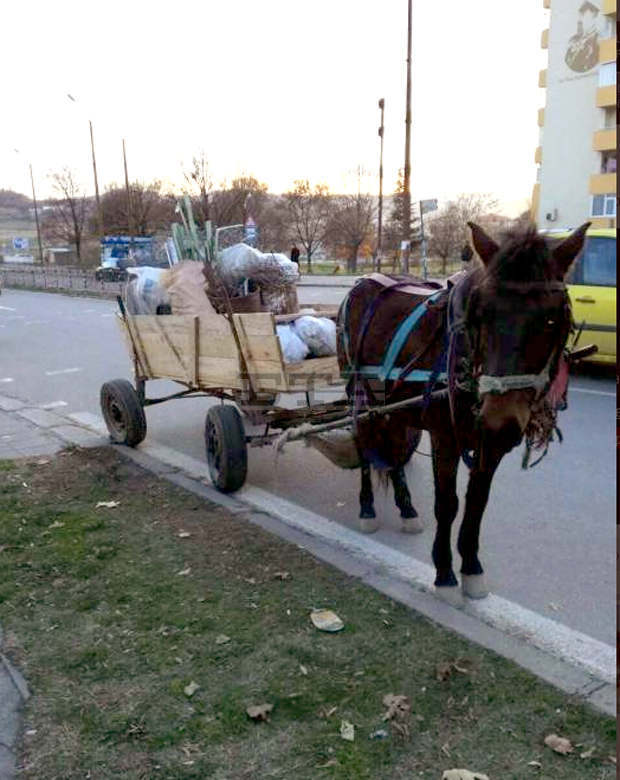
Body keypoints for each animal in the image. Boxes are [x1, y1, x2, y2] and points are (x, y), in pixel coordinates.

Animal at [336, 222, 588, 600]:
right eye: (481, 314)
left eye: (551, 319)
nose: (500, 420)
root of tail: (362, 283)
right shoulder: (445, 438)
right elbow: (448, 503)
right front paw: (443, 571)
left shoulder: (491, 445)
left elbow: (477, 502)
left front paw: (471, 566)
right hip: (360, 395)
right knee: (365, 445)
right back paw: (367, 507)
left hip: (393, 405)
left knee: (393, 451)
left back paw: (406, 508)